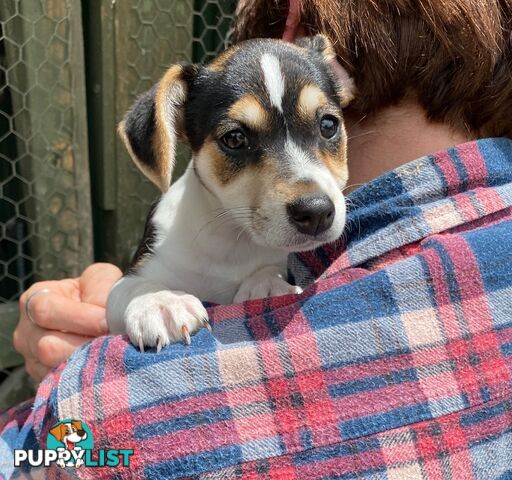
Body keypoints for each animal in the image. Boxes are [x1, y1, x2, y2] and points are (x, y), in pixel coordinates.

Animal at [106, 33, 354, 348]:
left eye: (328, 125)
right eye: (234, 138)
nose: (316, 212)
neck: (233, 239)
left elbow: (269, 269)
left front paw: (269, 285)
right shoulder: (135, 273)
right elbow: (133, 287)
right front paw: (161, 302)